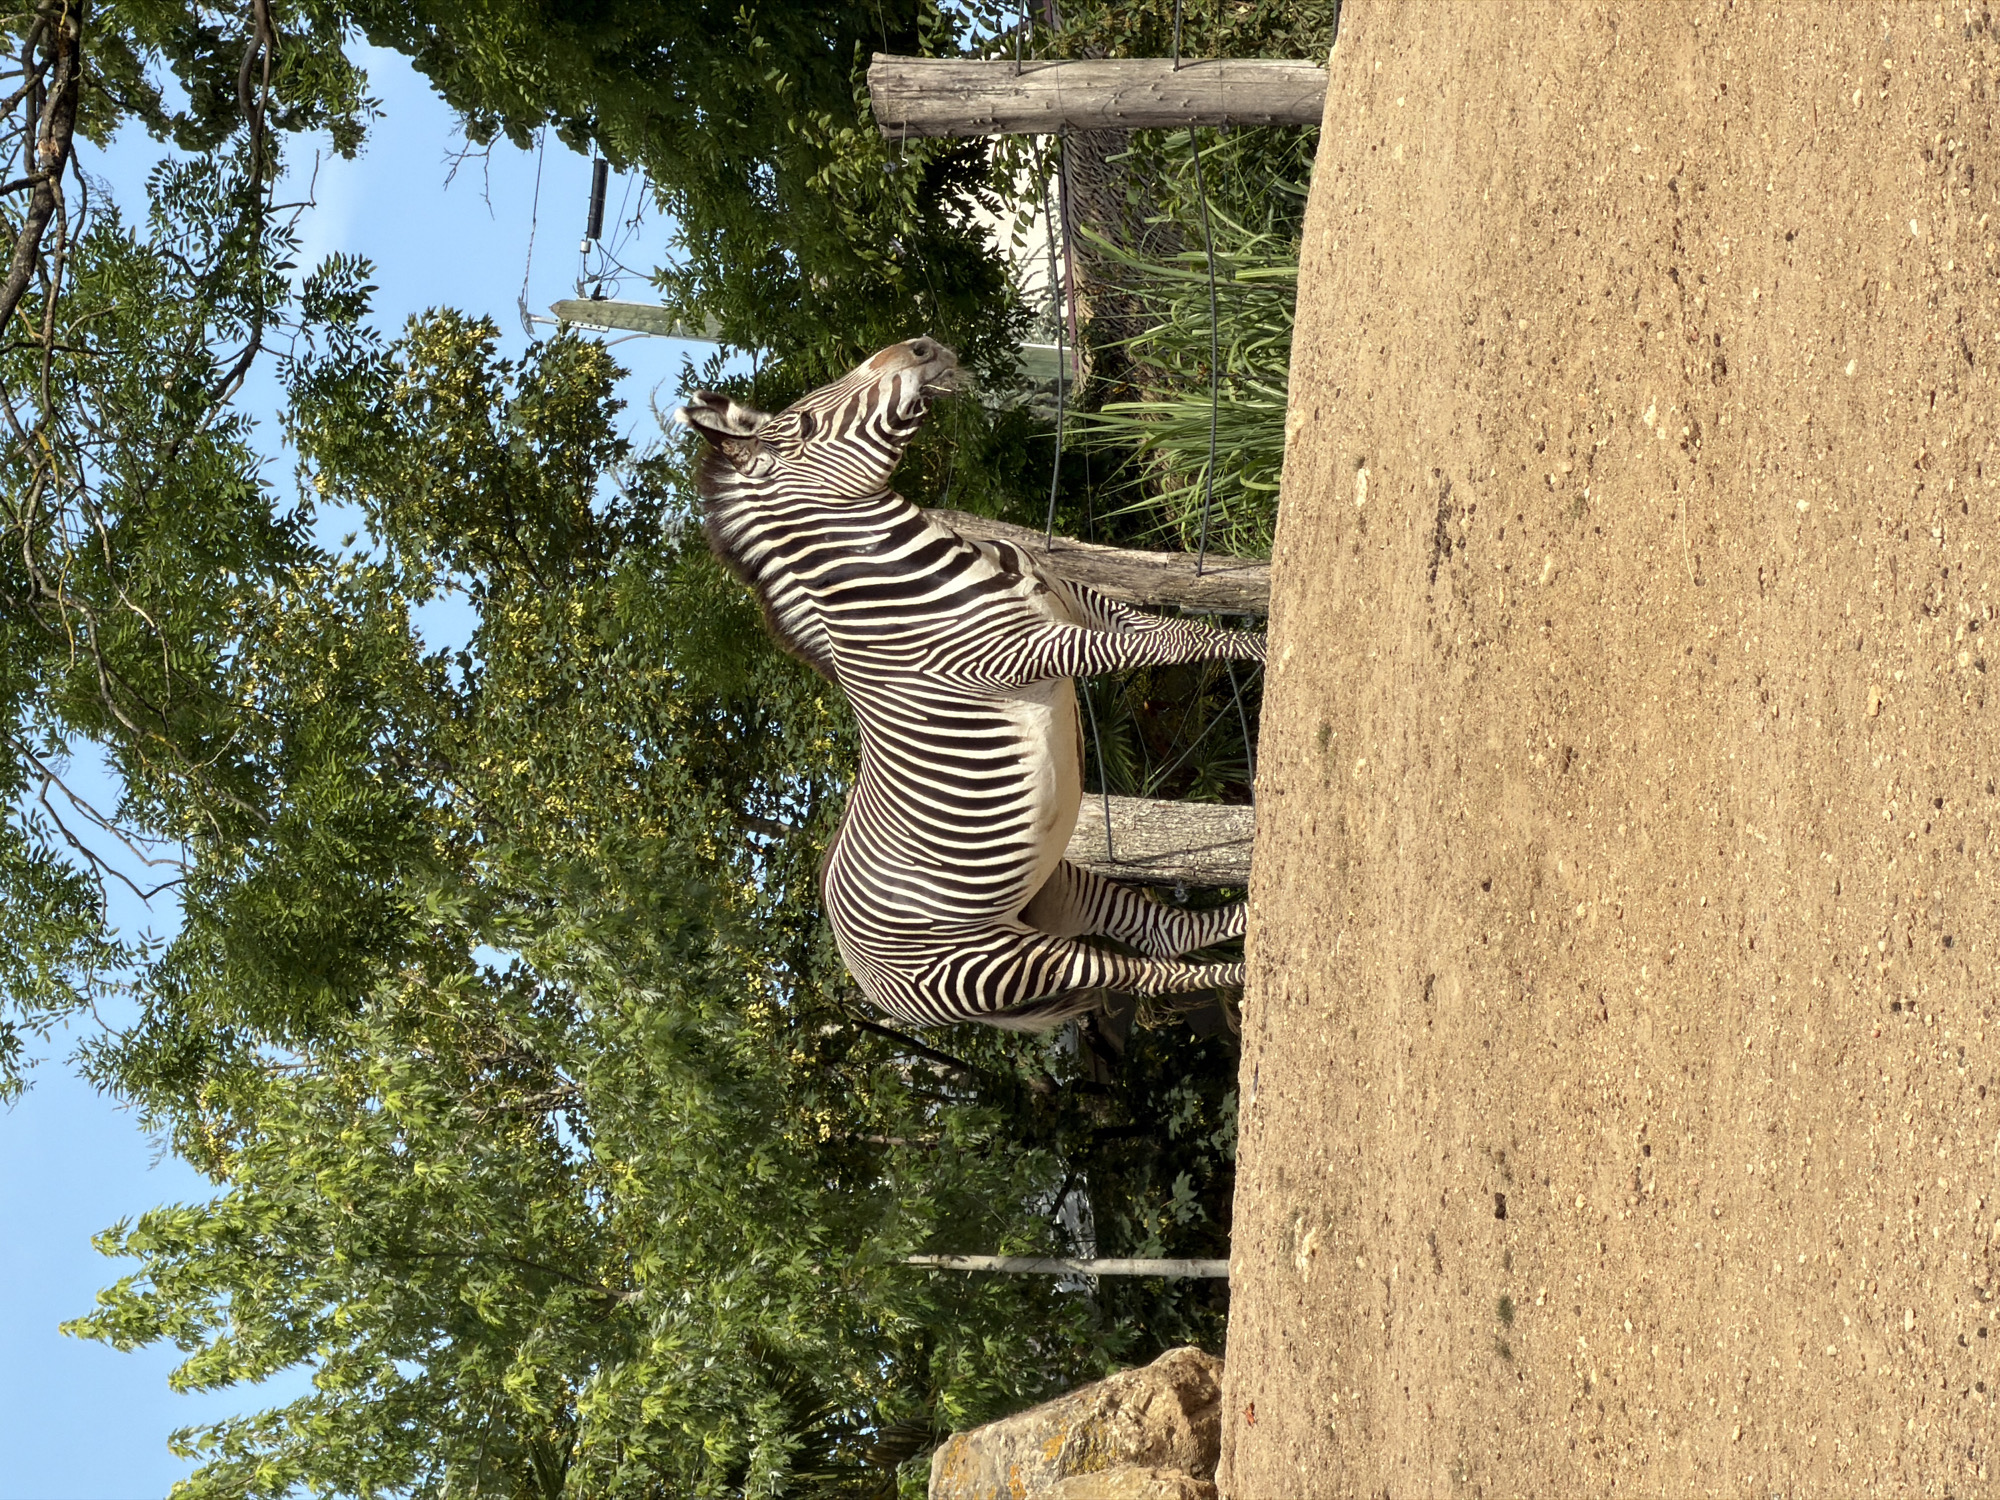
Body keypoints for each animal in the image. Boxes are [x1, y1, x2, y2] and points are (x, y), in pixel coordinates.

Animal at [676, 336, 1265, 1030]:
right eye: (805, 427)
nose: (921, 346)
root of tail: (861, 979)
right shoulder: (1022, 652)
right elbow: (1171, 644)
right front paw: (1267, 645)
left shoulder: (1076, 600)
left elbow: (1177, 629)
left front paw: (1260, 630)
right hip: (997, 962)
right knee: (1144, 972)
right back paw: (1246, 977)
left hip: (1050, 886)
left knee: (1165, 934)